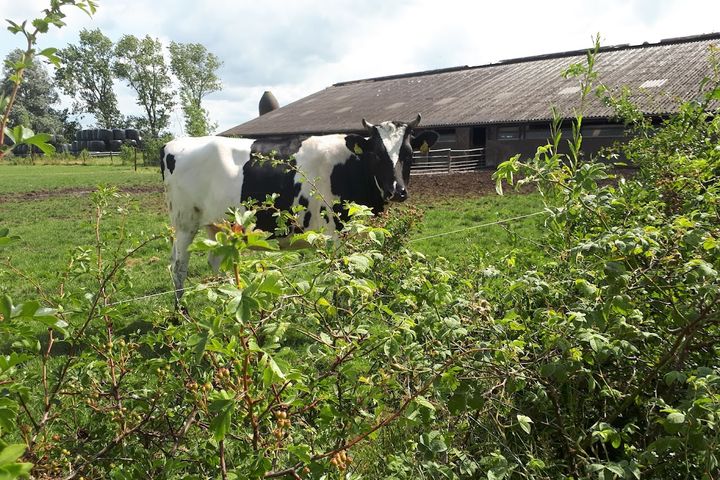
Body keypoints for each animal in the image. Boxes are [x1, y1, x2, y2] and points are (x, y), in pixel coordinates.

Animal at [160, 115, 436, 296]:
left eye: (409, 154)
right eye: (377, 154)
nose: (397, 191)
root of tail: (173, 144)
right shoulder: (333, 233)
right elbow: (341, 274)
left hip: (218, 224)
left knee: (217, 262)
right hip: (184, 222)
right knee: (178, 268)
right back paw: (183, 315)